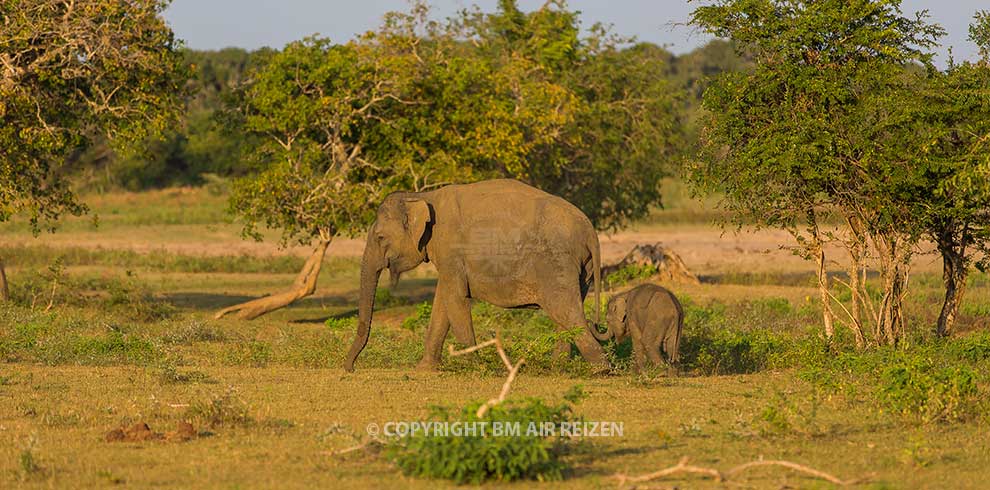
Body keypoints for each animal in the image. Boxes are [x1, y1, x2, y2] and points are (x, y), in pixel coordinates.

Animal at [344, 179, 608, 372]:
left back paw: (601, 370)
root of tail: (590, 231)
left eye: (380, 237)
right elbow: (442, 303)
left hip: (556, 262)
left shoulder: (450, 248)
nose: (349, 368)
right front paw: (424, 369)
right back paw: (558, 367)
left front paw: (475, 367)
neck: (423, 196)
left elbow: (455, 300)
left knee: (566, 311)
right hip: (580, 269)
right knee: (564, 314)